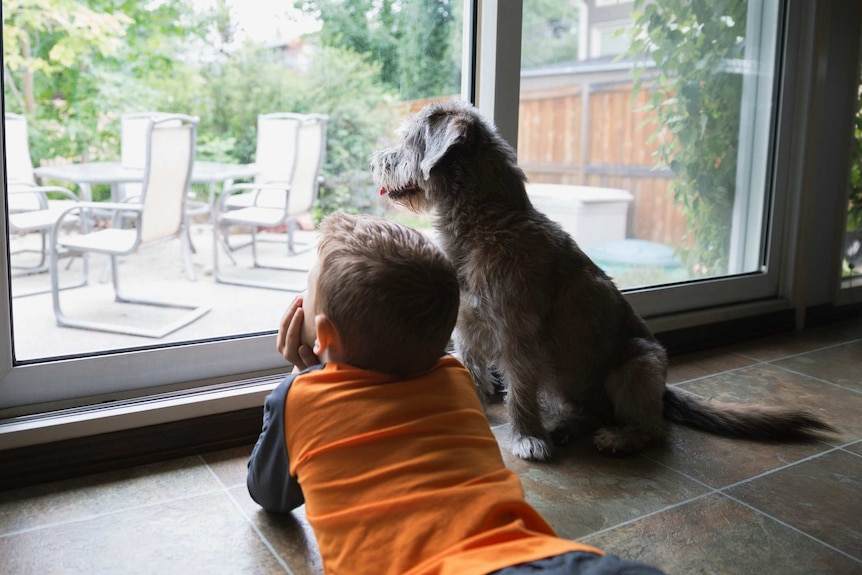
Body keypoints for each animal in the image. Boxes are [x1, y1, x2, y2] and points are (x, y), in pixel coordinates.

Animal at [372, 98, 836, 460]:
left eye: (408, 139)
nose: (376, 161)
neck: (489, 224)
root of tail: (663, 392)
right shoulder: (468, 329)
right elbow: (471, 371)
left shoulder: (518, 338)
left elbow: (520, 393)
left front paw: (527, 438)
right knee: (588, 411)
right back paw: (566, 425)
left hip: (634, 369)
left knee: (654, 430)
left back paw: (616, 438)